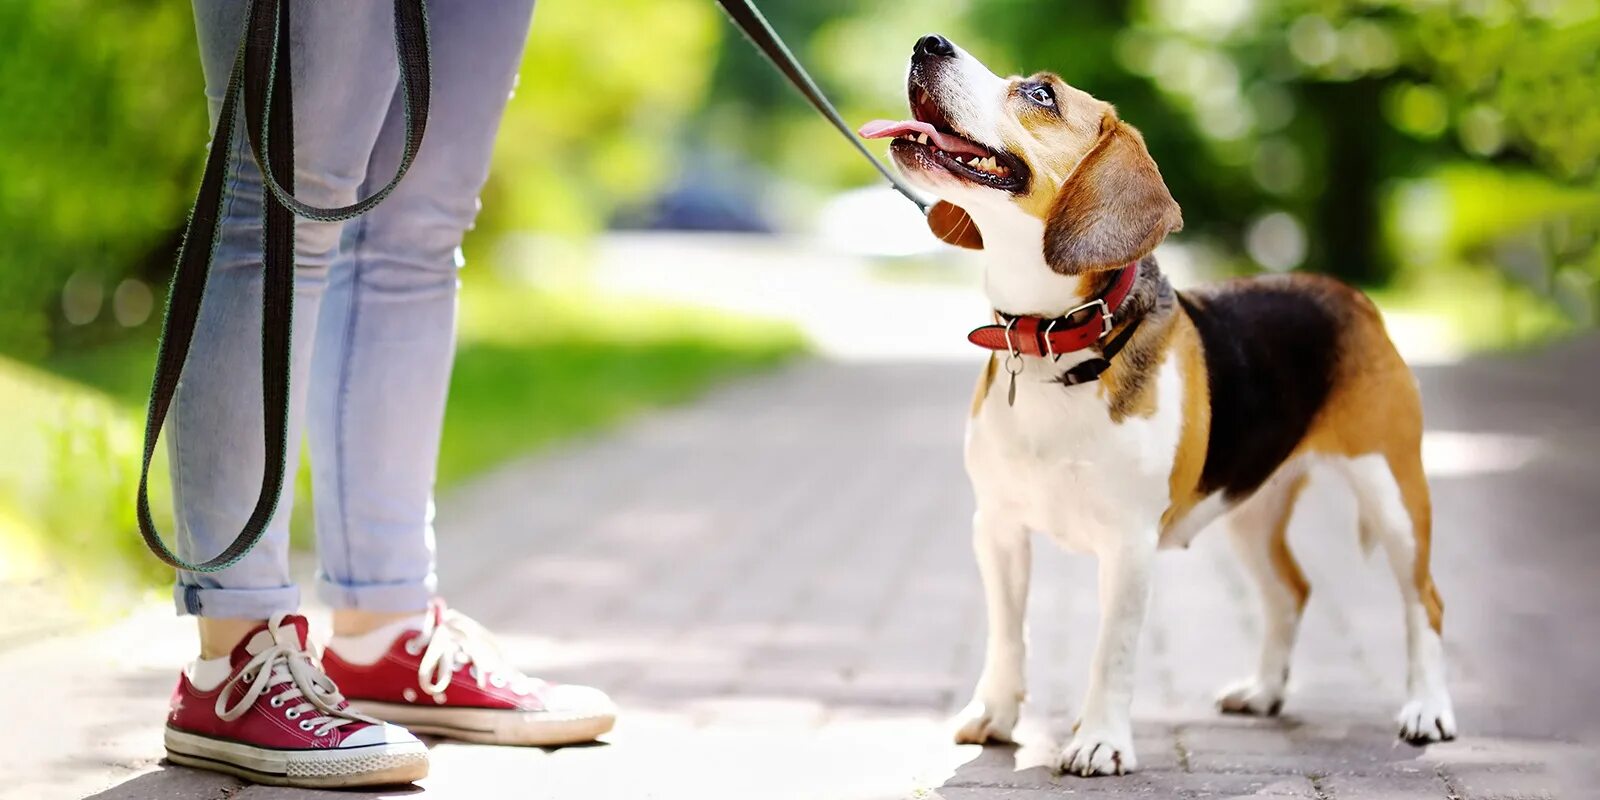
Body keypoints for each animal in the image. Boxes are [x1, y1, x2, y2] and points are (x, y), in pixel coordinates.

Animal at [864, 32, 1465, 774]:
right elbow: (1008, 635)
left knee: (1425, 602)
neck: (1056, 342)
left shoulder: (1129, 544)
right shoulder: (997, 527)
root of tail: (1348, 294)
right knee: (1291, 592)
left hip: (1393, 492)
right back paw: (1265, 691)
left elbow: (1112, 651)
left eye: (1040, 94)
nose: (928, 43)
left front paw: (1098, 741)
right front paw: (995, 714)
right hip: (1250, 507)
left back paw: (1427, 710)